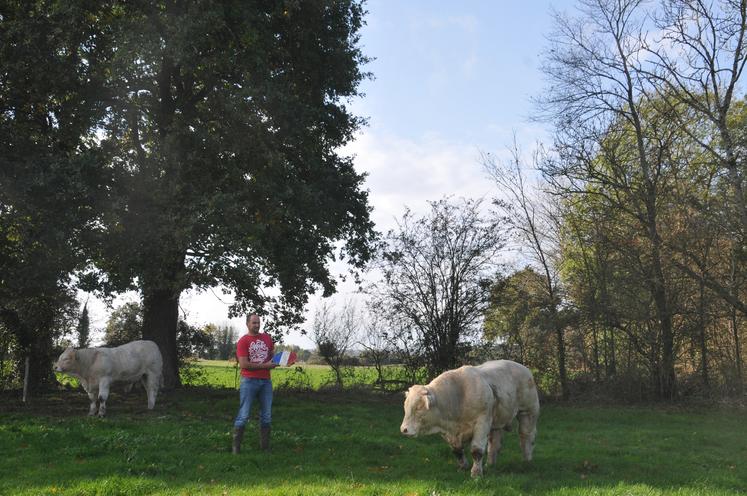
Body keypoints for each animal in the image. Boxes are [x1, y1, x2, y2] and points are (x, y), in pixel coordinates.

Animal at [400, 360, 540, 476]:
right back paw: (490, 464)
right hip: (496, 420)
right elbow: (457, 450)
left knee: (526, 436)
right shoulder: (449, 433)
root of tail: (523, 368)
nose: (404, 429)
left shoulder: (482, 423)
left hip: (528, 411)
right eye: (405, 406)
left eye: (419, 407)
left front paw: (476, 473)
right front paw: (463, 467)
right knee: (494, 443)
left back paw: (527, 460)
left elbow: (477, 450)